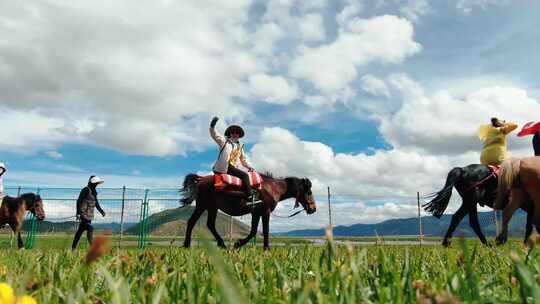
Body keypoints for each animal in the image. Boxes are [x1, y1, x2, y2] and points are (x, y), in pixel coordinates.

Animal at [181, 172, 316, 251]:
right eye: (309, 192)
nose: (313, 209)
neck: (273, 188)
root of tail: (201, 179)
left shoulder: (256, 213)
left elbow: (253, 231)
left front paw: (237, 244)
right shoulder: (265, 211)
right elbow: (265, 231)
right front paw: (266, 249)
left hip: (212, 207)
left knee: (210, 224)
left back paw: (222, 244)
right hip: (202, 206)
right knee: (192, 222)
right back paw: (187, 245)